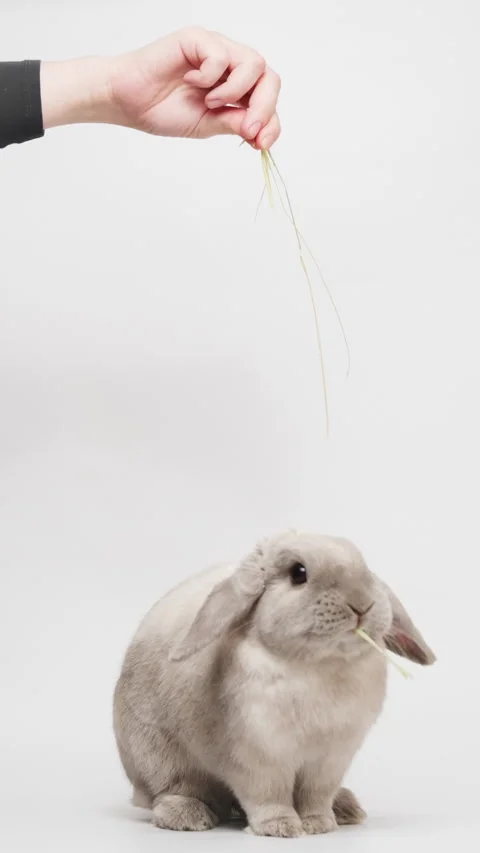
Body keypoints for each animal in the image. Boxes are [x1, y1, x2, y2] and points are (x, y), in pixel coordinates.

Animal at [113, 530, 435, 837]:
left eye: (365, 566)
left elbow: (315, 796)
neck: (320, 665)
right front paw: (280, 827)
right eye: (298, 573)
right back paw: (188, 815)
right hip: (157, 756)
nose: (362, 604)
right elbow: (268, 795)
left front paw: (319, 824)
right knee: (170, 792)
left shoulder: (329, 761)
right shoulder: (257, 757)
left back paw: (345, 808)